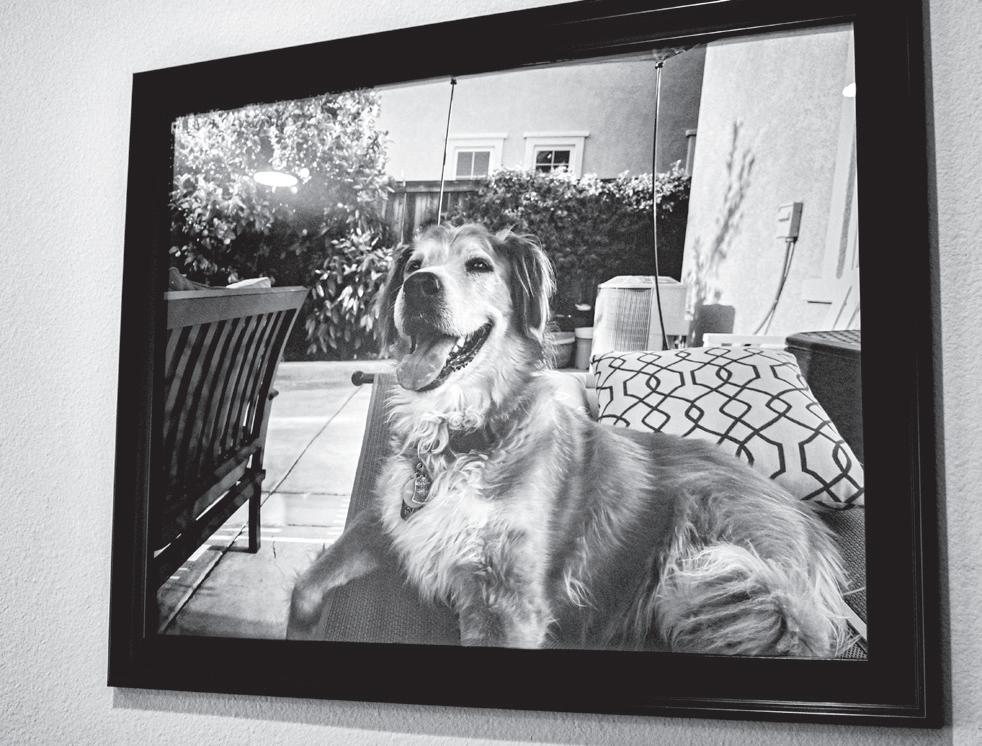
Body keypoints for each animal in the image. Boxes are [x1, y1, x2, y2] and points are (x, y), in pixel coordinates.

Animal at [287, 223, 850, 655]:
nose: (420, 286)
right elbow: (306, 582)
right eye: (413, 266)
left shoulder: (509, 604)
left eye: (478, 265)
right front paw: (301, 626)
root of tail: (808, 521)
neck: (462, 436)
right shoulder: (387, 522)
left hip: (717, 565)